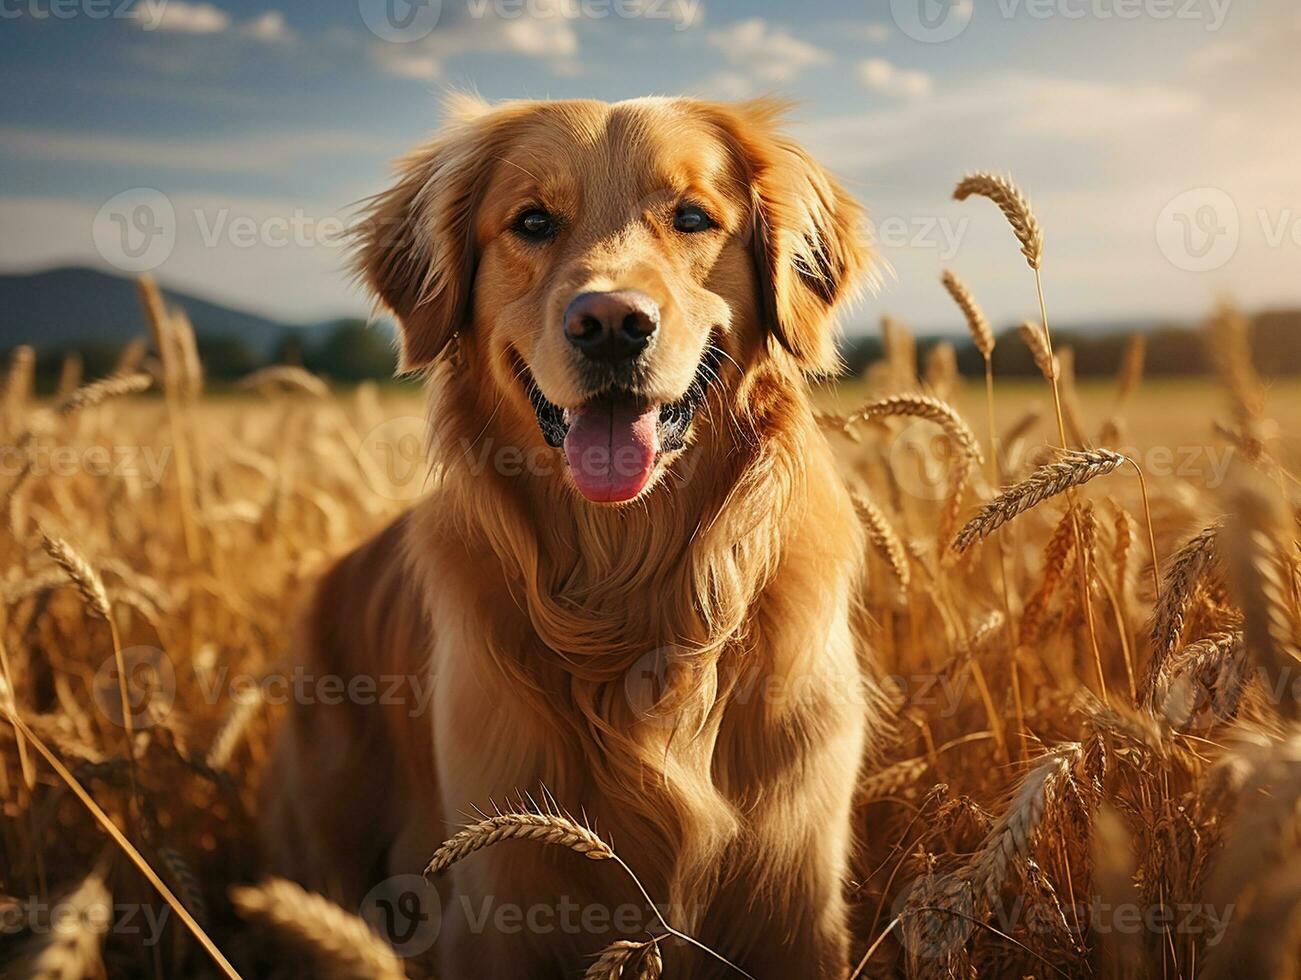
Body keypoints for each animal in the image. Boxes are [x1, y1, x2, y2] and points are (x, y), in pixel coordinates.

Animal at [260, 93, 879, 978]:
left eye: (692, 216)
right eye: (532, 221)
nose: (612, 322)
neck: (628, 583)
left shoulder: (797, 898)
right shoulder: (498, 900)